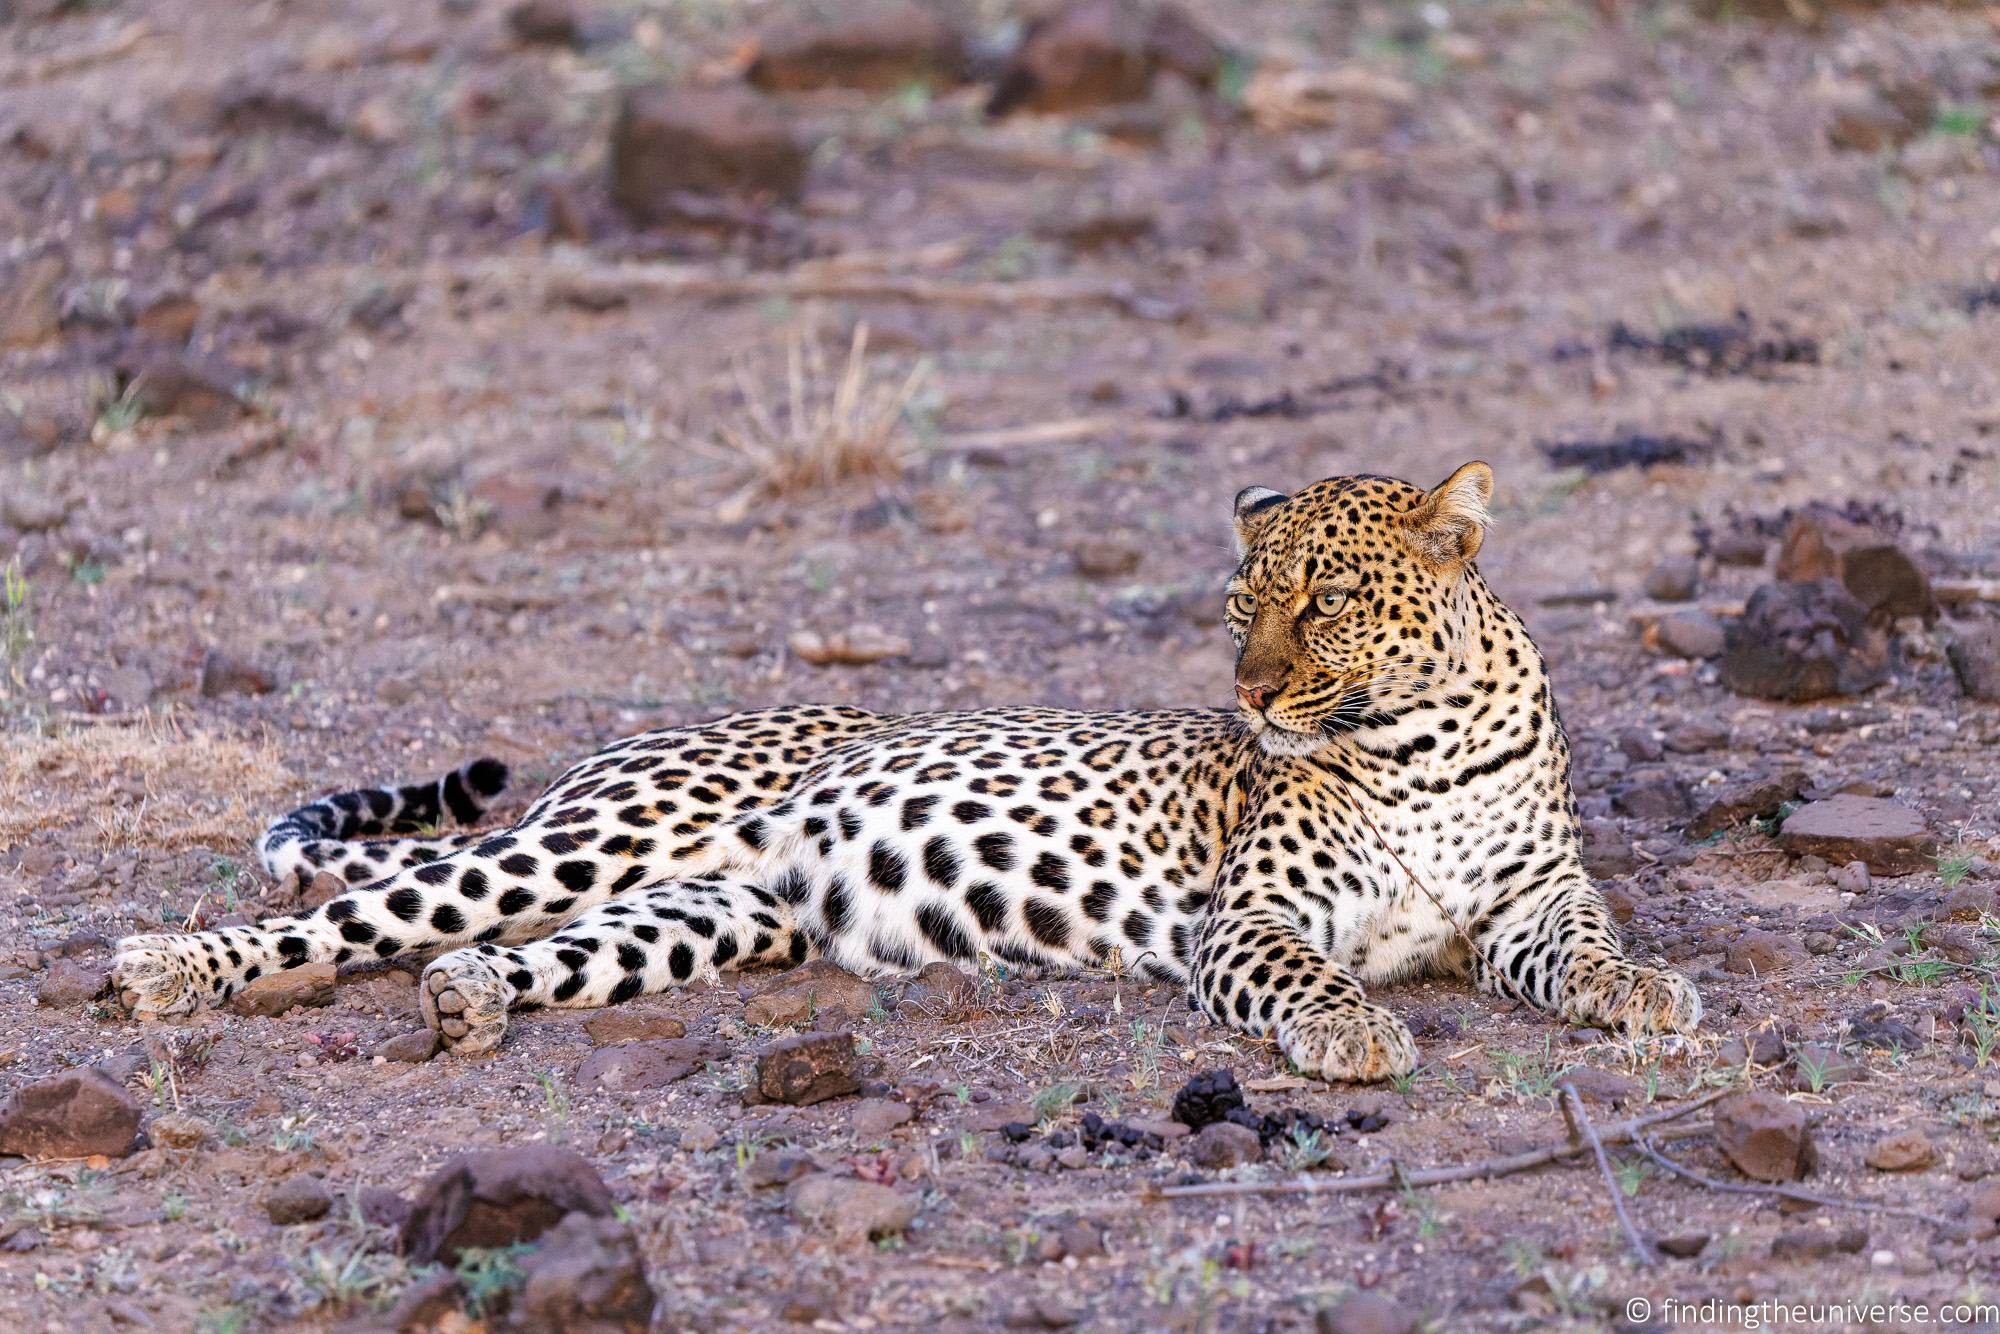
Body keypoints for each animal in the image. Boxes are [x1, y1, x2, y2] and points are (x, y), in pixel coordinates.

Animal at [110, 462, 1701, 1081]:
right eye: (1240, 608)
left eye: (1323, 604)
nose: (1247, 692)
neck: (1420, 745)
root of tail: (600, 755)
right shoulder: (1248, 917)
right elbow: (1305, 973)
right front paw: (1355, 1031)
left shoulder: (1530, 898)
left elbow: (1587, 944)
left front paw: (1647, 993)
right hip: (578, 842)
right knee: (344, 916)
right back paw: (163, 968)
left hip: (703, 918)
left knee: (514, 946)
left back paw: (469, 999)